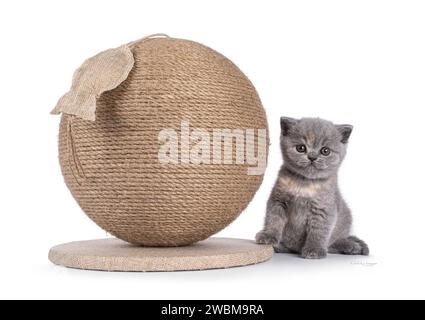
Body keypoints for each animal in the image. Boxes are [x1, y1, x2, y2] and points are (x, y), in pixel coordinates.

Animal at [255, 117, 368, 260]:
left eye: (325, 151)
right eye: (301, 148)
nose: (312, 157)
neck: (305, 184)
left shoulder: (324, 208)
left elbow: (319, 231)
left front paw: (314, 250)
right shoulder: (278, 200)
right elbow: (273, 219)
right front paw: (268, 236)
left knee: (335, 242)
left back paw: (351, 246)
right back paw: (280, 246)